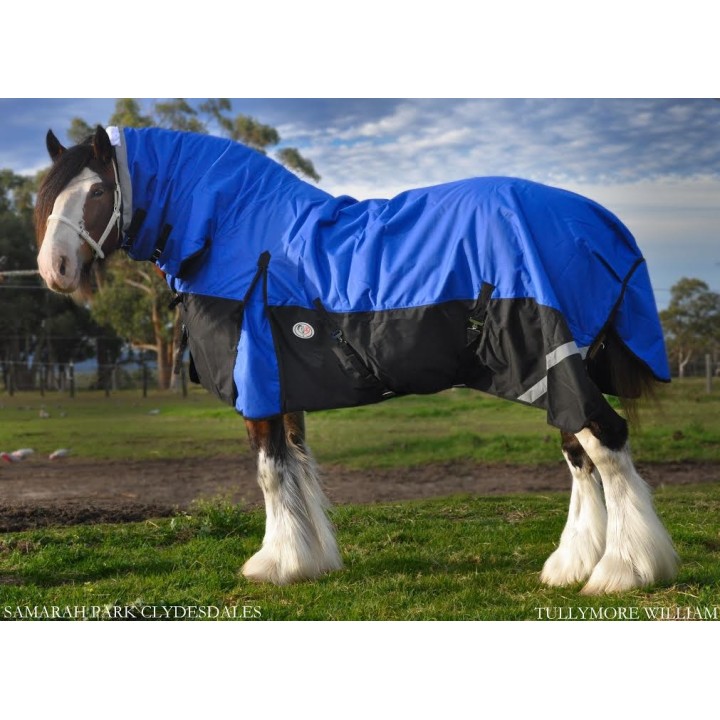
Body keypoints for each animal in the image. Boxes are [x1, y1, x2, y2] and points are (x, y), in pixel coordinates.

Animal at [34, 124, 679, 595]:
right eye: (48, 197)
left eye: (96, 193)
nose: (53, 270)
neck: (234, 230)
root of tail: (601, 221)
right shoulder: (285, 386)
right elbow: (296, 467)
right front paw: (308, 559)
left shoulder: (258, 382)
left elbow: (269, 472)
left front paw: (274, 565)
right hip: (558, 371)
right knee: (580, 454)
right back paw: (572, 563)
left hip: (553, 360)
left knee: (606, 444)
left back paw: (624, 570)